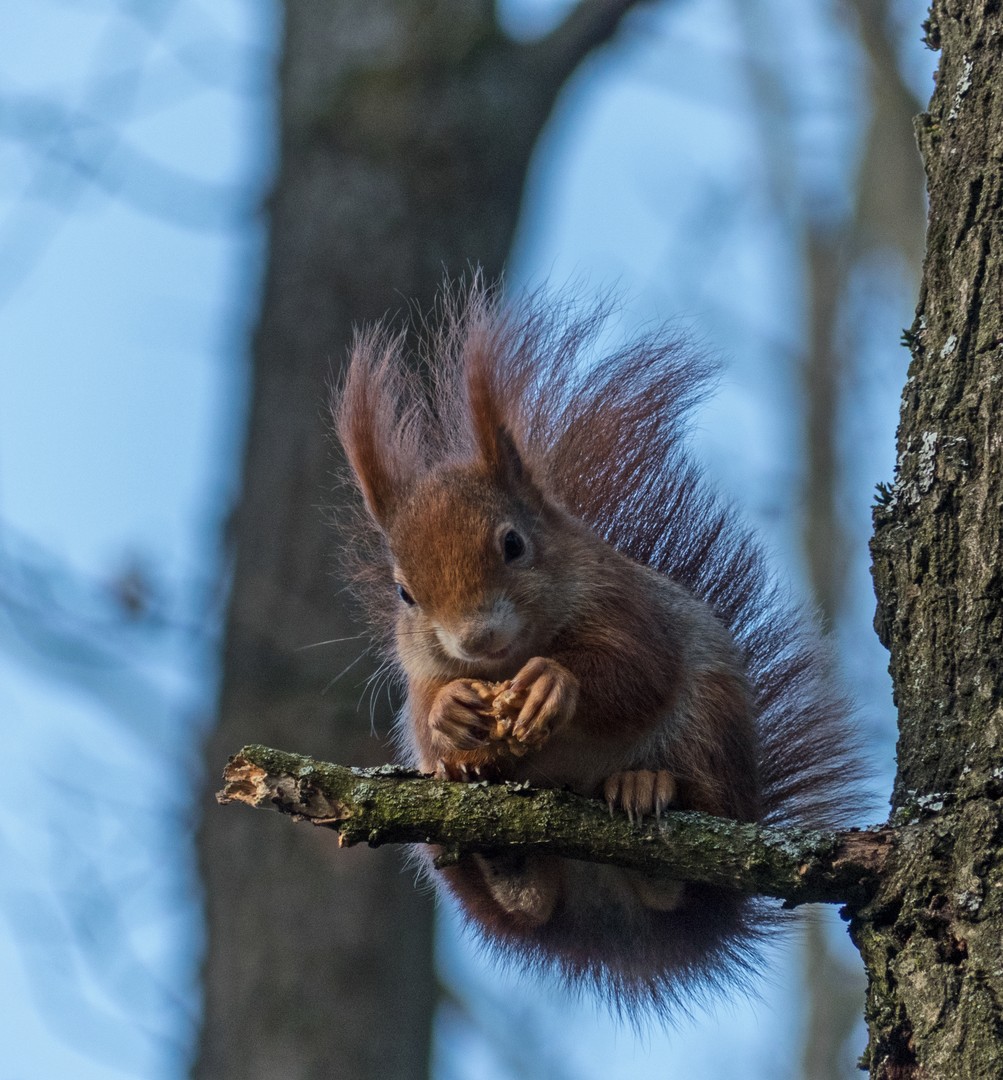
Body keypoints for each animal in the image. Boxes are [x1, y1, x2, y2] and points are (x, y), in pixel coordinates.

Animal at [334, 282, 859, 1015]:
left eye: (513, 544)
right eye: (404, 593)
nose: (475, 638)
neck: (508, 660)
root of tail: (608, 911)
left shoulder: (630, 609)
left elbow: (637, 671)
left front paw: (553, 684)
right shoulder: (418, 675)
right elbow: (423, 709)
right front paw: (452, 713)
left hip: (710, 733)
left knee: (687, 858)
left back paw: (645, 787)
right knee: (525, 901)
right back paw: (503, 858)